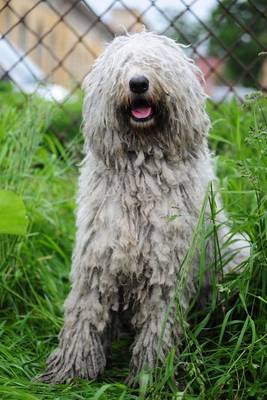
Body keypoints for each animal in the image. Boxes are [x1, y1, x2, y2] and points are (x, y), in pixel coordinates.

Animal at [38, 32, 250, 386]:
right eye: (122, 66)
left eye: (157, 64)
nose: (138, 82)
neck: (142, 165)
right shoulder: (98, 256)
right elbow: (84, 314)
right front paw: (71, 370)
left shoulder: (167, 269)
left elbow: (157, 327)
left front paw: (151, 376)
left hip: (237, 254)